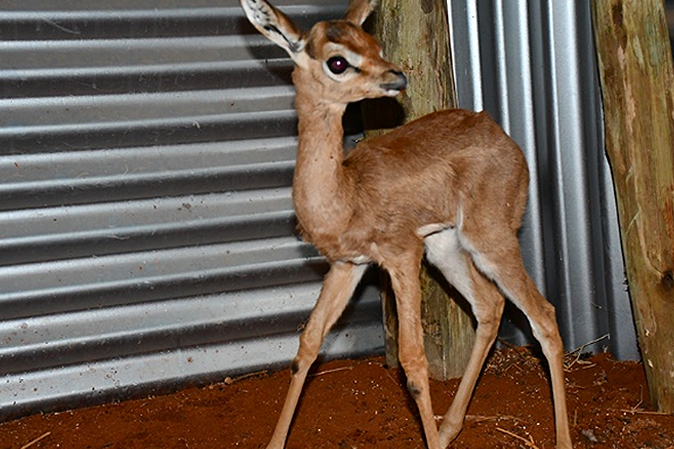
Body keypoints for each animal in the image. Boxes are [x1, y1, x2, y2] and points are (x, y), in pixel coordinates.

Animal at [239, 0, 572, 448]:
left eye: (375, 44)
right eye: (338, 60)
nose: (396, 76)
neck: (346, 194)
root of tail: (504, 138)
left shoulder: (401, 255)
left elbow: (413, 362)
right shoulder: (348, 264)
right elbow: (308, 344)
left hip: (489, 240)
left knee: (544, 316)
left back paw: (561, 439)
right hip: (446, 248)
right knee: (490, 305)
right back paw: (448, 429)